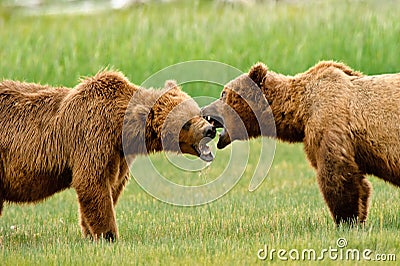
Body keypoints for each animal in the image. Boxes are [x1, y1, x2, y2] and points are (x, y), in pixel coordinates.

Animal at [0, 70, 216, 241]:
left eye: (198, 112)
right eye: (186, 123)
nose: (210, 129)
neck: (121, 129)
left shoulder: (118, 155)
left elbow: (113, 185)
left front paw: (89, 233)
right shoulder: (93, 136)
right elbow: (92, 182)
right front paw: (108, 235)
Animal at [203, 61, 400, 225]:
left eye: (223, 94)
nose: (204, 109)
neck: (300, 109)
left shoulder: (329, 124)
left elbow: (336, 174)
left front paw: (346, 220)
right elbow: (359, 183)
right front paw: (358, 218)